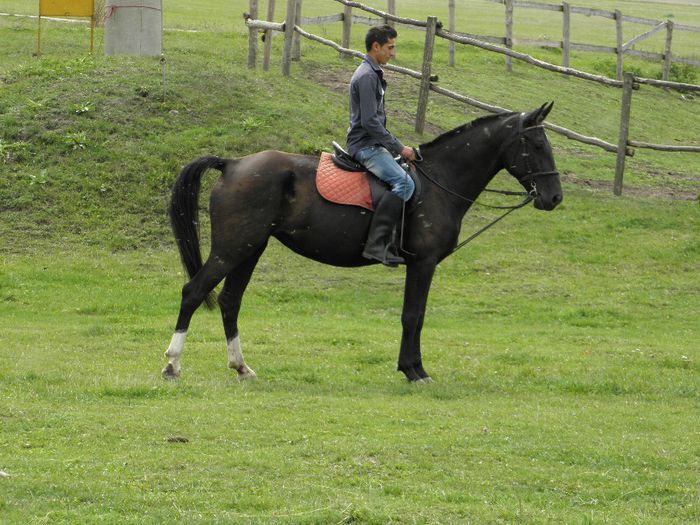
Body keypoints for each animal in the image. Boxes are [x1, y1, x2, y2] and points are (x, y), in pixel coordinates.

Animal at [164, 103, 564, 380]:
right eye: (535, 144)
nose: (554, 198)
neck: (438, 181)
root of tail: (232, 164)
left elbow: (413, 315)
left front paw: (411, 367)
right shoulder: (423, 263)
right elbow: (413, 315)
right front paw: (414, 370)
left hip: (250, 249)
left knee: (230, 301)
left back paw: (241, 367)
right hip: (232, 249)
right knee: (193, 292)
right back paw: (172, 364)